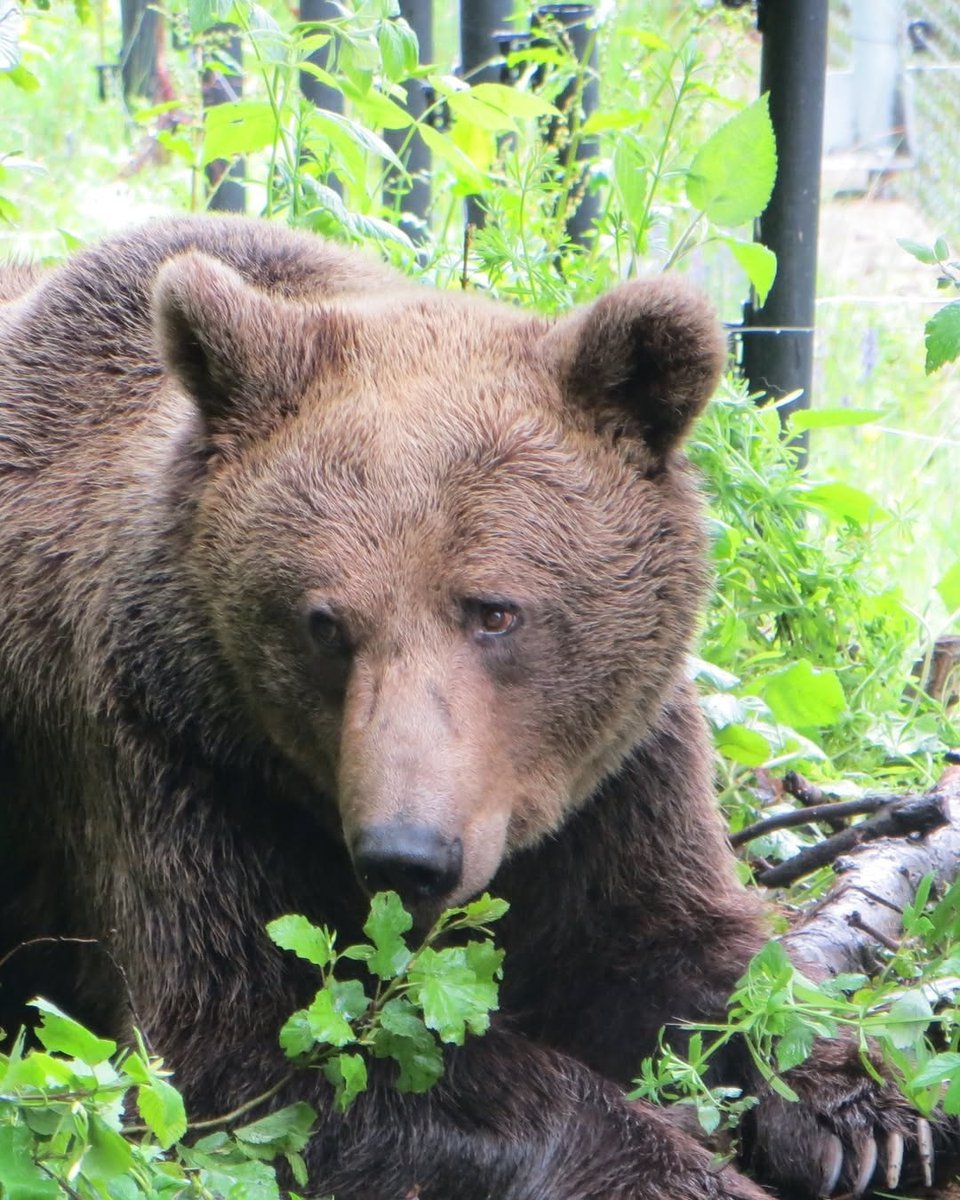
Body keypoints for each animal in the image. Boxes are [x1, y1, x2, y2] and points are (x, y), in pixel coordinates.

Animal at [0, 216, 927, 1200]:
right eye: (324, 624)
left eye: (495, 611)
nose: (407, 853)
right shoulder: (174, 759)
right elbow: (264, 1048)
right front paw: (687, 1167)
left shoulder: (615, 772)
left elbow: (680, 951)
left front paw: (866, 1118)